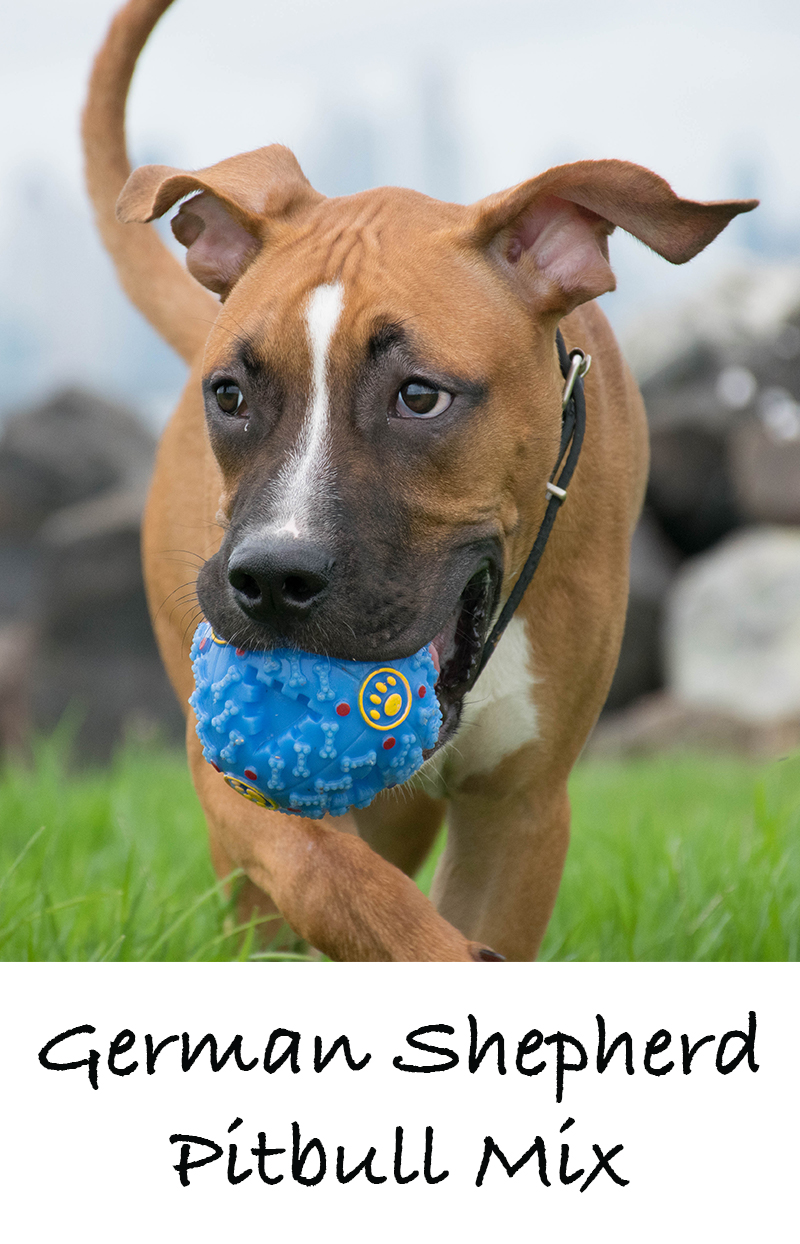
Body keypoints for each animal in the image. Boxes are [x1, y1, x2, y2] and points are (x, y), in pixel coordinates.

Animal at [81, 0, 756, 960]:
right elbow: (330, 875)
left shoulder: (522, 811)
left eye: (420, 396)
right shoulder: (233, 783)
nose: (272, 578)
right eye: (231, 394)